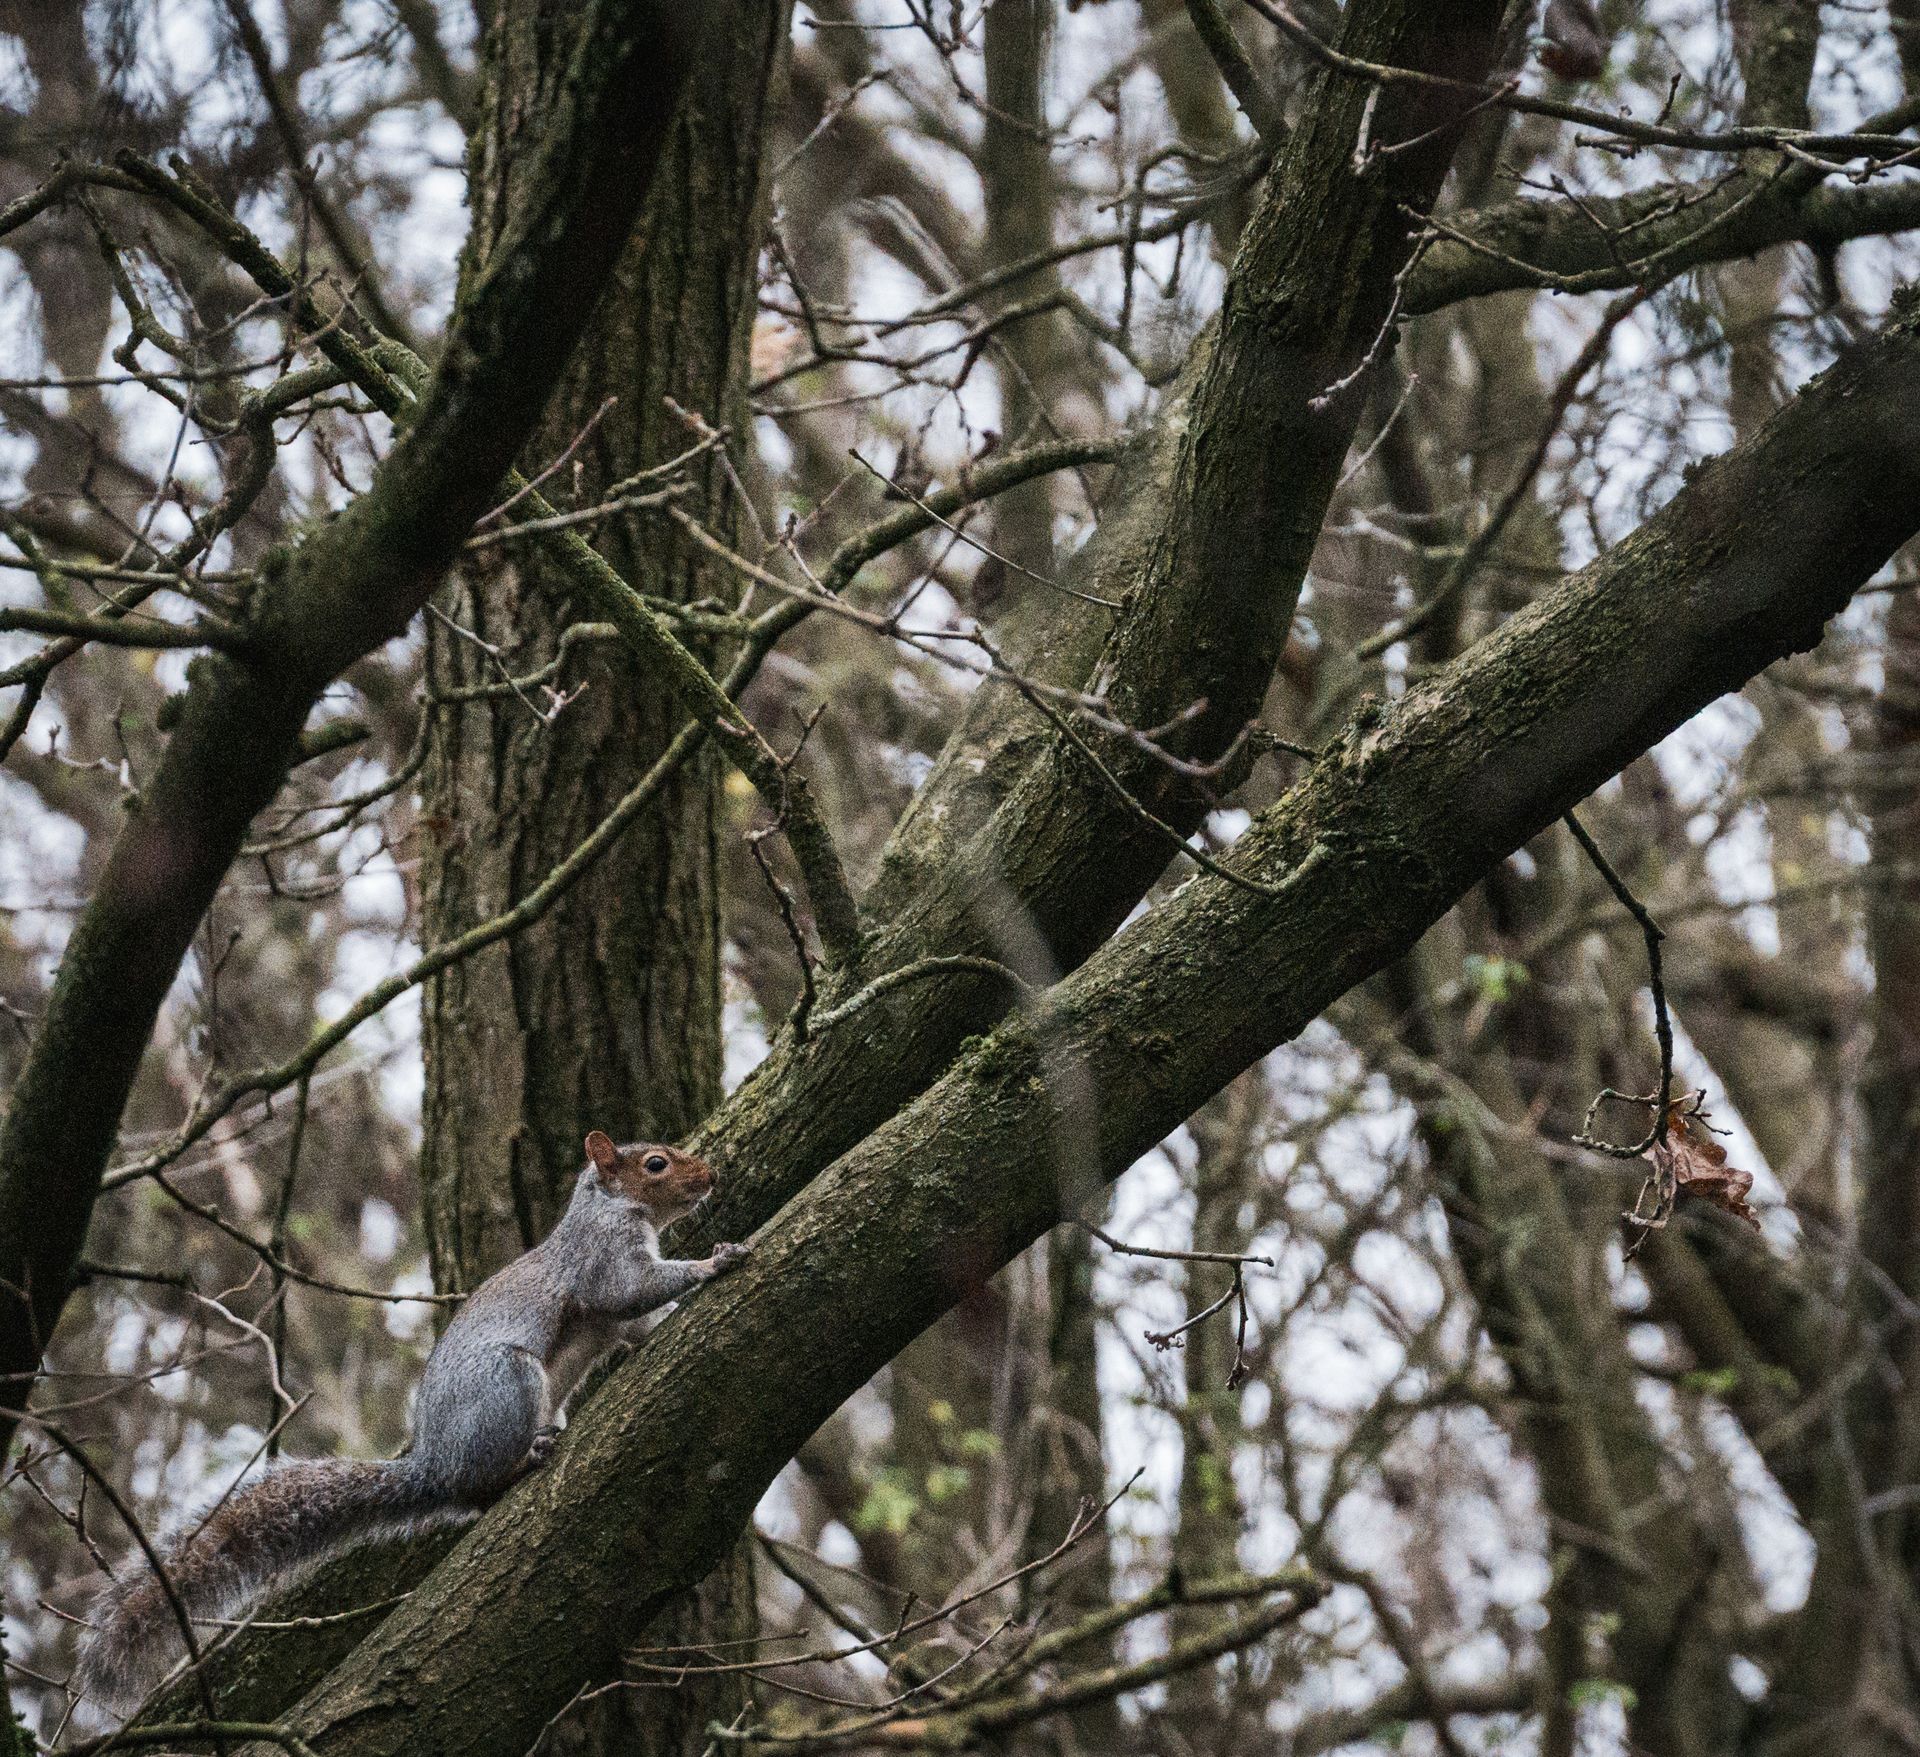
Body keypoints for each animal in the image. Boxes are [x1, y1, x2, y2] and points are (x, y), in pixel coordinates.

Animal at [74, 1131, 749, 1722]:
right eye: (656, 1164)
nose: (712, 1177)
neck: (610, 1206)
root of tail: (435, 1468)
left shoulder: (615, 1308)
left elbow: (637, 1322)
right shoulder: (602, 1258)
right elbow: (631, 1290)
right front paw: (713, 1263)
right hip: (510, 1382)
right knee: (482, 1487)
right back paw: (523, 1460)